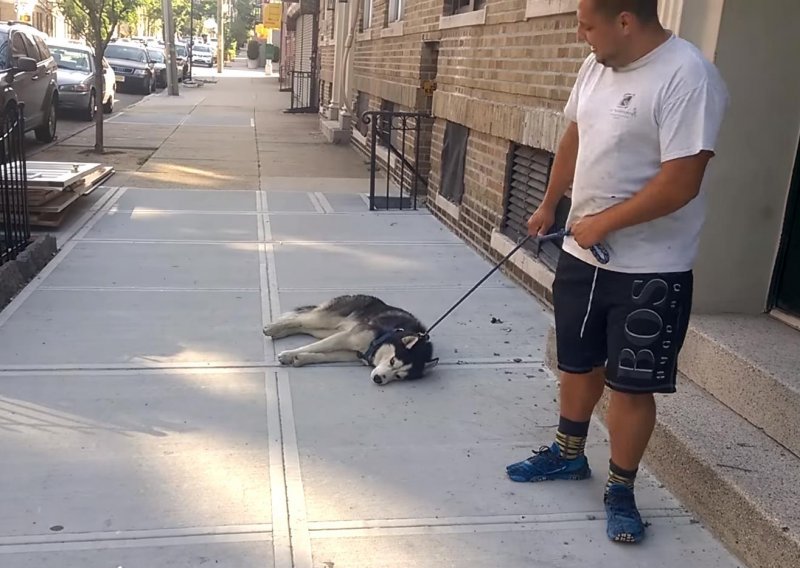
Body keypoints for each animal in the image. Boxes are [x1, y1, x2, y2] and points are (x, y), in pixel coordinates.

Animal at [262, 296, 438, 384]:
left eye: (399, 376)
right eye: (393, 361)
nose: (378, 379)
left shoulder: (351, 352)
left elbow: (323, 355)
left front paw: (301, 358)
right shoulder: (346, 338)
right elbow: (315, 347)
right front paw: (288, 354)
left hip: (325, 330)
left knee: (302, 326)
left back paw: (280, 332)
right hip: (327, 320)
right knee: (300, 319)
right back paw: (273, 328)